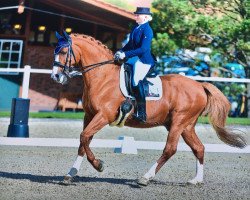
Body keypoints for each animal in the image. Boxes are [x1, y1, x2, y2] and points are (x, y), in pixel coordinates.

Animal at [50, 32, 246, 186]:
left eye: (64, 52)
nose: (56, 77)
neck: (102, 77)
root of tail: (199, 85)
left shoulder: (103, 116)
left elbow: (84, 137)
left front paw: (99, 165)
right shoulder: (89, 115)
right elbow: (83, 142)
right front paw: (70, 174)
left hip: (179, 122)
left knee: (170, 149)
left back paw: (145, 178)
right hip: (186, 126)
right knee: (199, 148)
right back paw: (196, 180)